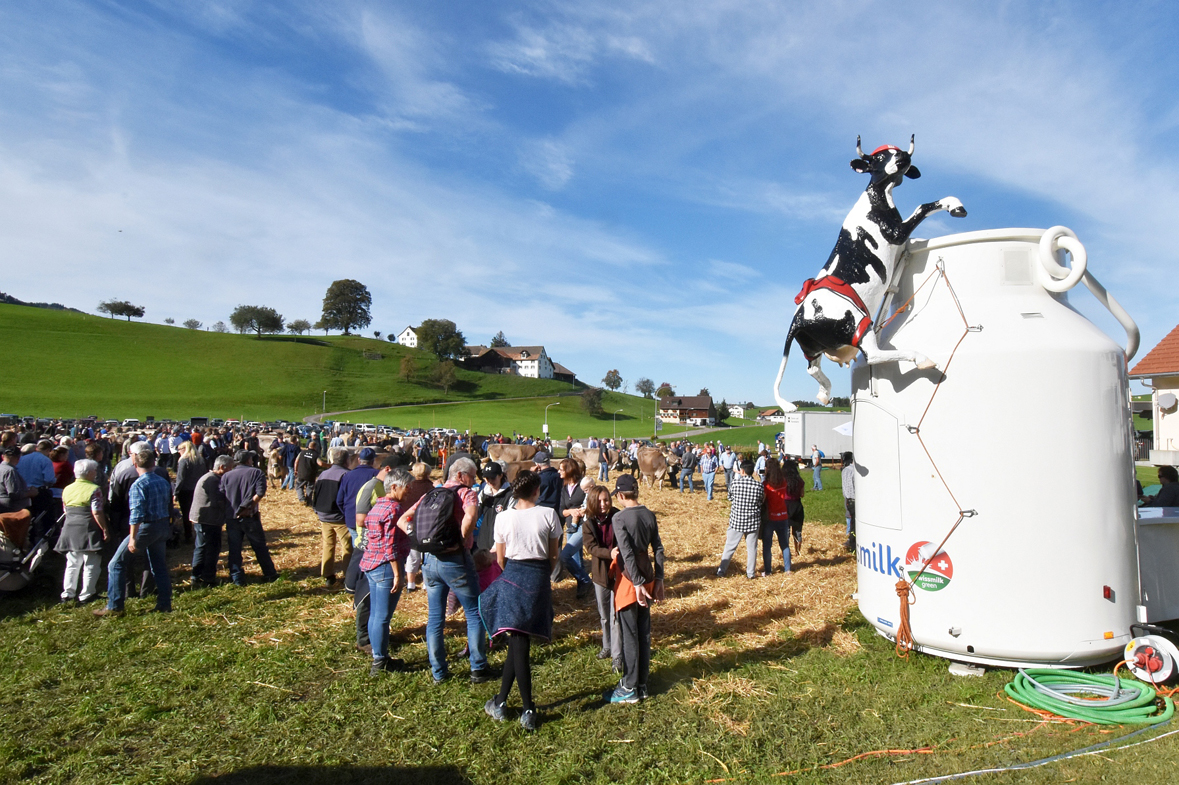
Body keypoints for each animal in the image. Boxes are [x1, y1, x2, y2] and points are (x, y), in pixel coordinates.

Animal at [773, 133, 966, 410]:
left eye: (898, 151)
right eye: (879, 157)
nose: (903, 158)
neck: (877, 199)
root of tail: (799, 317)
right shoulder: (896, 232)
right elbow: (923, 206)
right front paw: (955, 205)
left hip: (814, 346)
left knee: (813, 369)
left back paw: (825, 392)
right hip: (857, 324)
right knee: (873, 355)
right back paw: (921, 358)